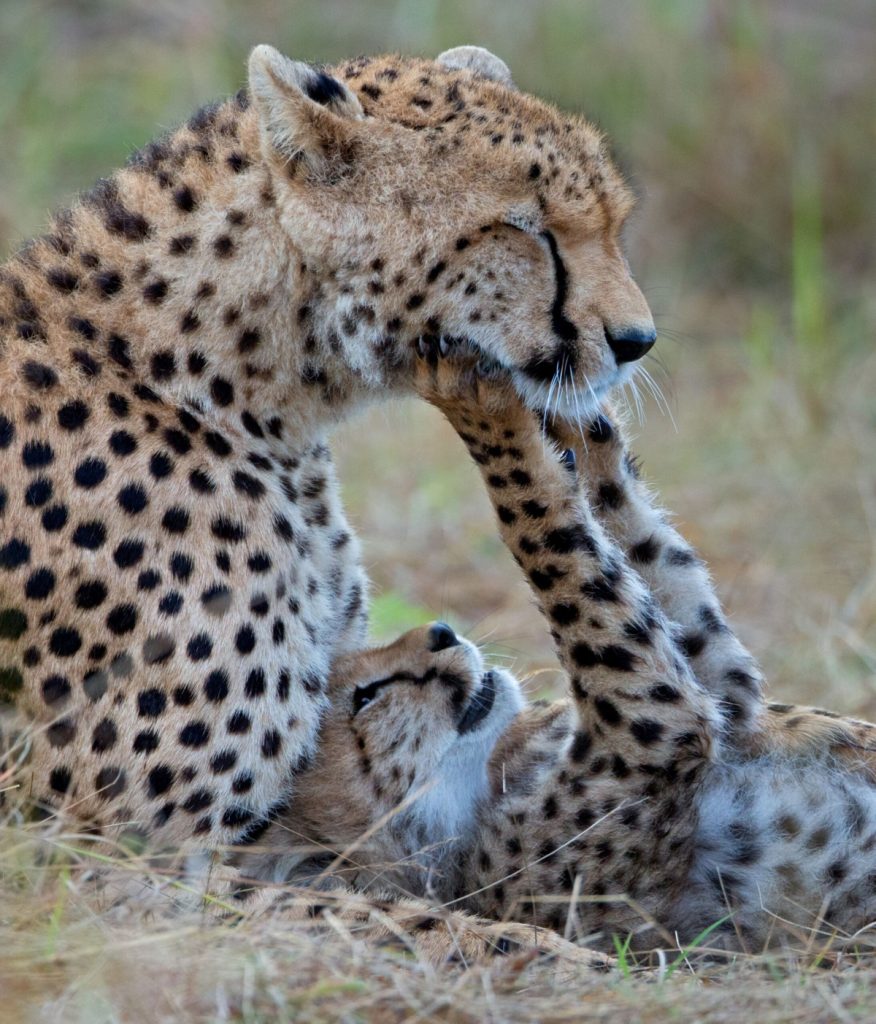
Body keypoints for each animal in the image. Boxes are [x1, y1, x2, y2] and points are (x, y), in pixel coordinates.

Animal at [238, 350, 876, 955]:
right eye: (367, 697)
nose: (442, 632)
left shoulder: (729, 696)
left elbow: (637, 542)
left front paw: (573, 409)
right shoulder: (653, 732)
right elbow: (553, 545)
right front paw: (483, 409)